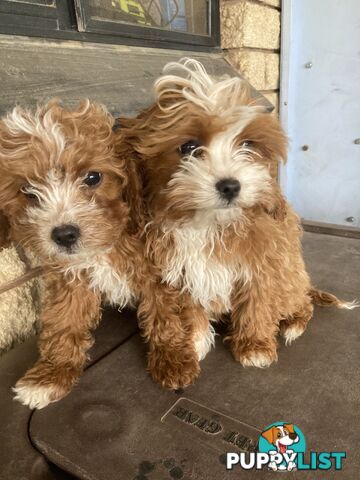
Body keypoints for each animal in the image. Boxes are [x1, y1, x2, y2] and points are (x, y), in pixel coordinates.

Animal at [0, 99, 177, 406]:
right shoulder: (70, 278)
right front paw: (51, 375)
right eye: (28, 190)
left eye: (93, 177)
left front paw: (174, 359)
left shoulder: (158, 266)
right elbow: (64, 320)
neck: (106, 245)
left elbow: (165, 311)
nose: (64, 235)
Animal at [121, 61, 358, 390]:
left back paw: (294, 323)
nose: (231, 185)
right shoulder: (182, 269)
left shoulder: (263, 262)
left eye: (247, 144)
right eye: (189, 147)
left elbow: (257, 303)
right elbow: (190, 306)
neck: (209, 223)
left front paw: (255, 347)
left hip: (291, 276)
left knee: (301, 302)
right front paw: (194, 341)